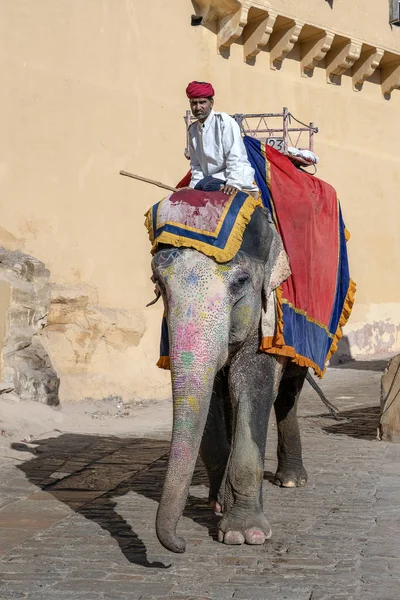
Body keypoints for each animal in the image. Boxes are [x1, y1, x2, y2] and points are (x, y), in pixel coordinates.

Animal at [152, 206, 308, 552]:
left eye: (240, 281)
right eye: (157, 282)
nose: (180, 544)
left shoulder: (266, 311)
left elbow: (252, 383)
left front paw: (244, 535)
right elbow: (209, 396)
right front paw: (220, 504)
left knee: (288, 391)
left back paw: (292, 480)